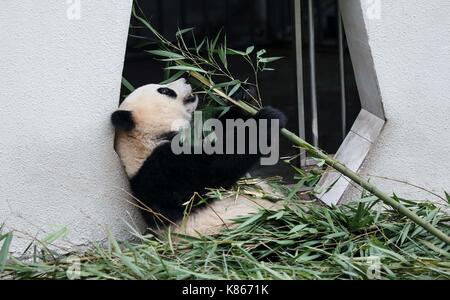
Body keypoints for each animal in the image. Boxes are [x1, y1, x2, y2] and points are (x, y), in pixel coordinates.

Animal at [112, 78, 288, 237]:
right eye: (164, 91)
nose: (186, 79)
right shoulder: (163, 172)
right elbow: (215, 167)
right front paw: (267, 119)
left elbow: (221, 130)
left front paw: (242, 95)